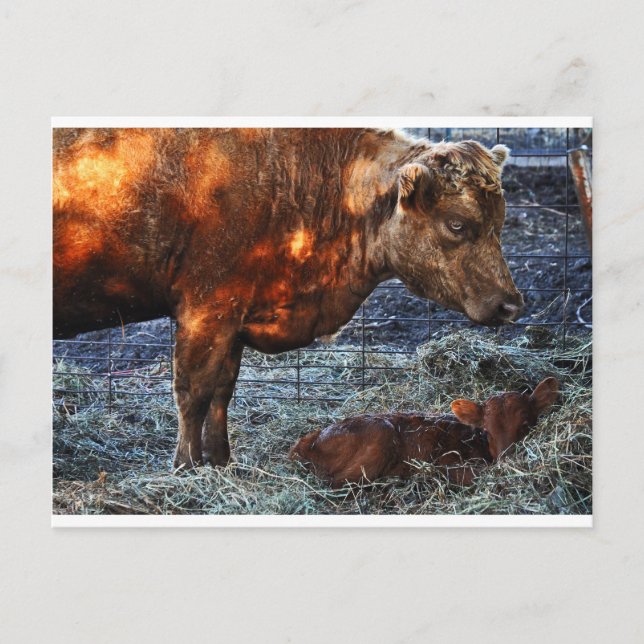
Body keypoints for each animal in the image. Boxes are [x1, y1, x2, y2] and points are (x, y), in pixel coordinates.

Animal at [53, 128, 523, 469]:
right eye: (457, 224)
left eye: (500, 222)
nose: (511, 305)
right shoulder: (205, 312)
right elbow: (193, 392)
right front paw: (186, 466)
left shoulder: (233, 320)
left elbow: (222, 391)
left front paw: (221, 461)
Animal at [289, 377, 559, 486]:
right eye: (487, 432)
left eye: (526, 425)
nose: (506, 461)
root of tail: (305, 442)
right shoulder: (447, 462)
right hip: (381, 433)